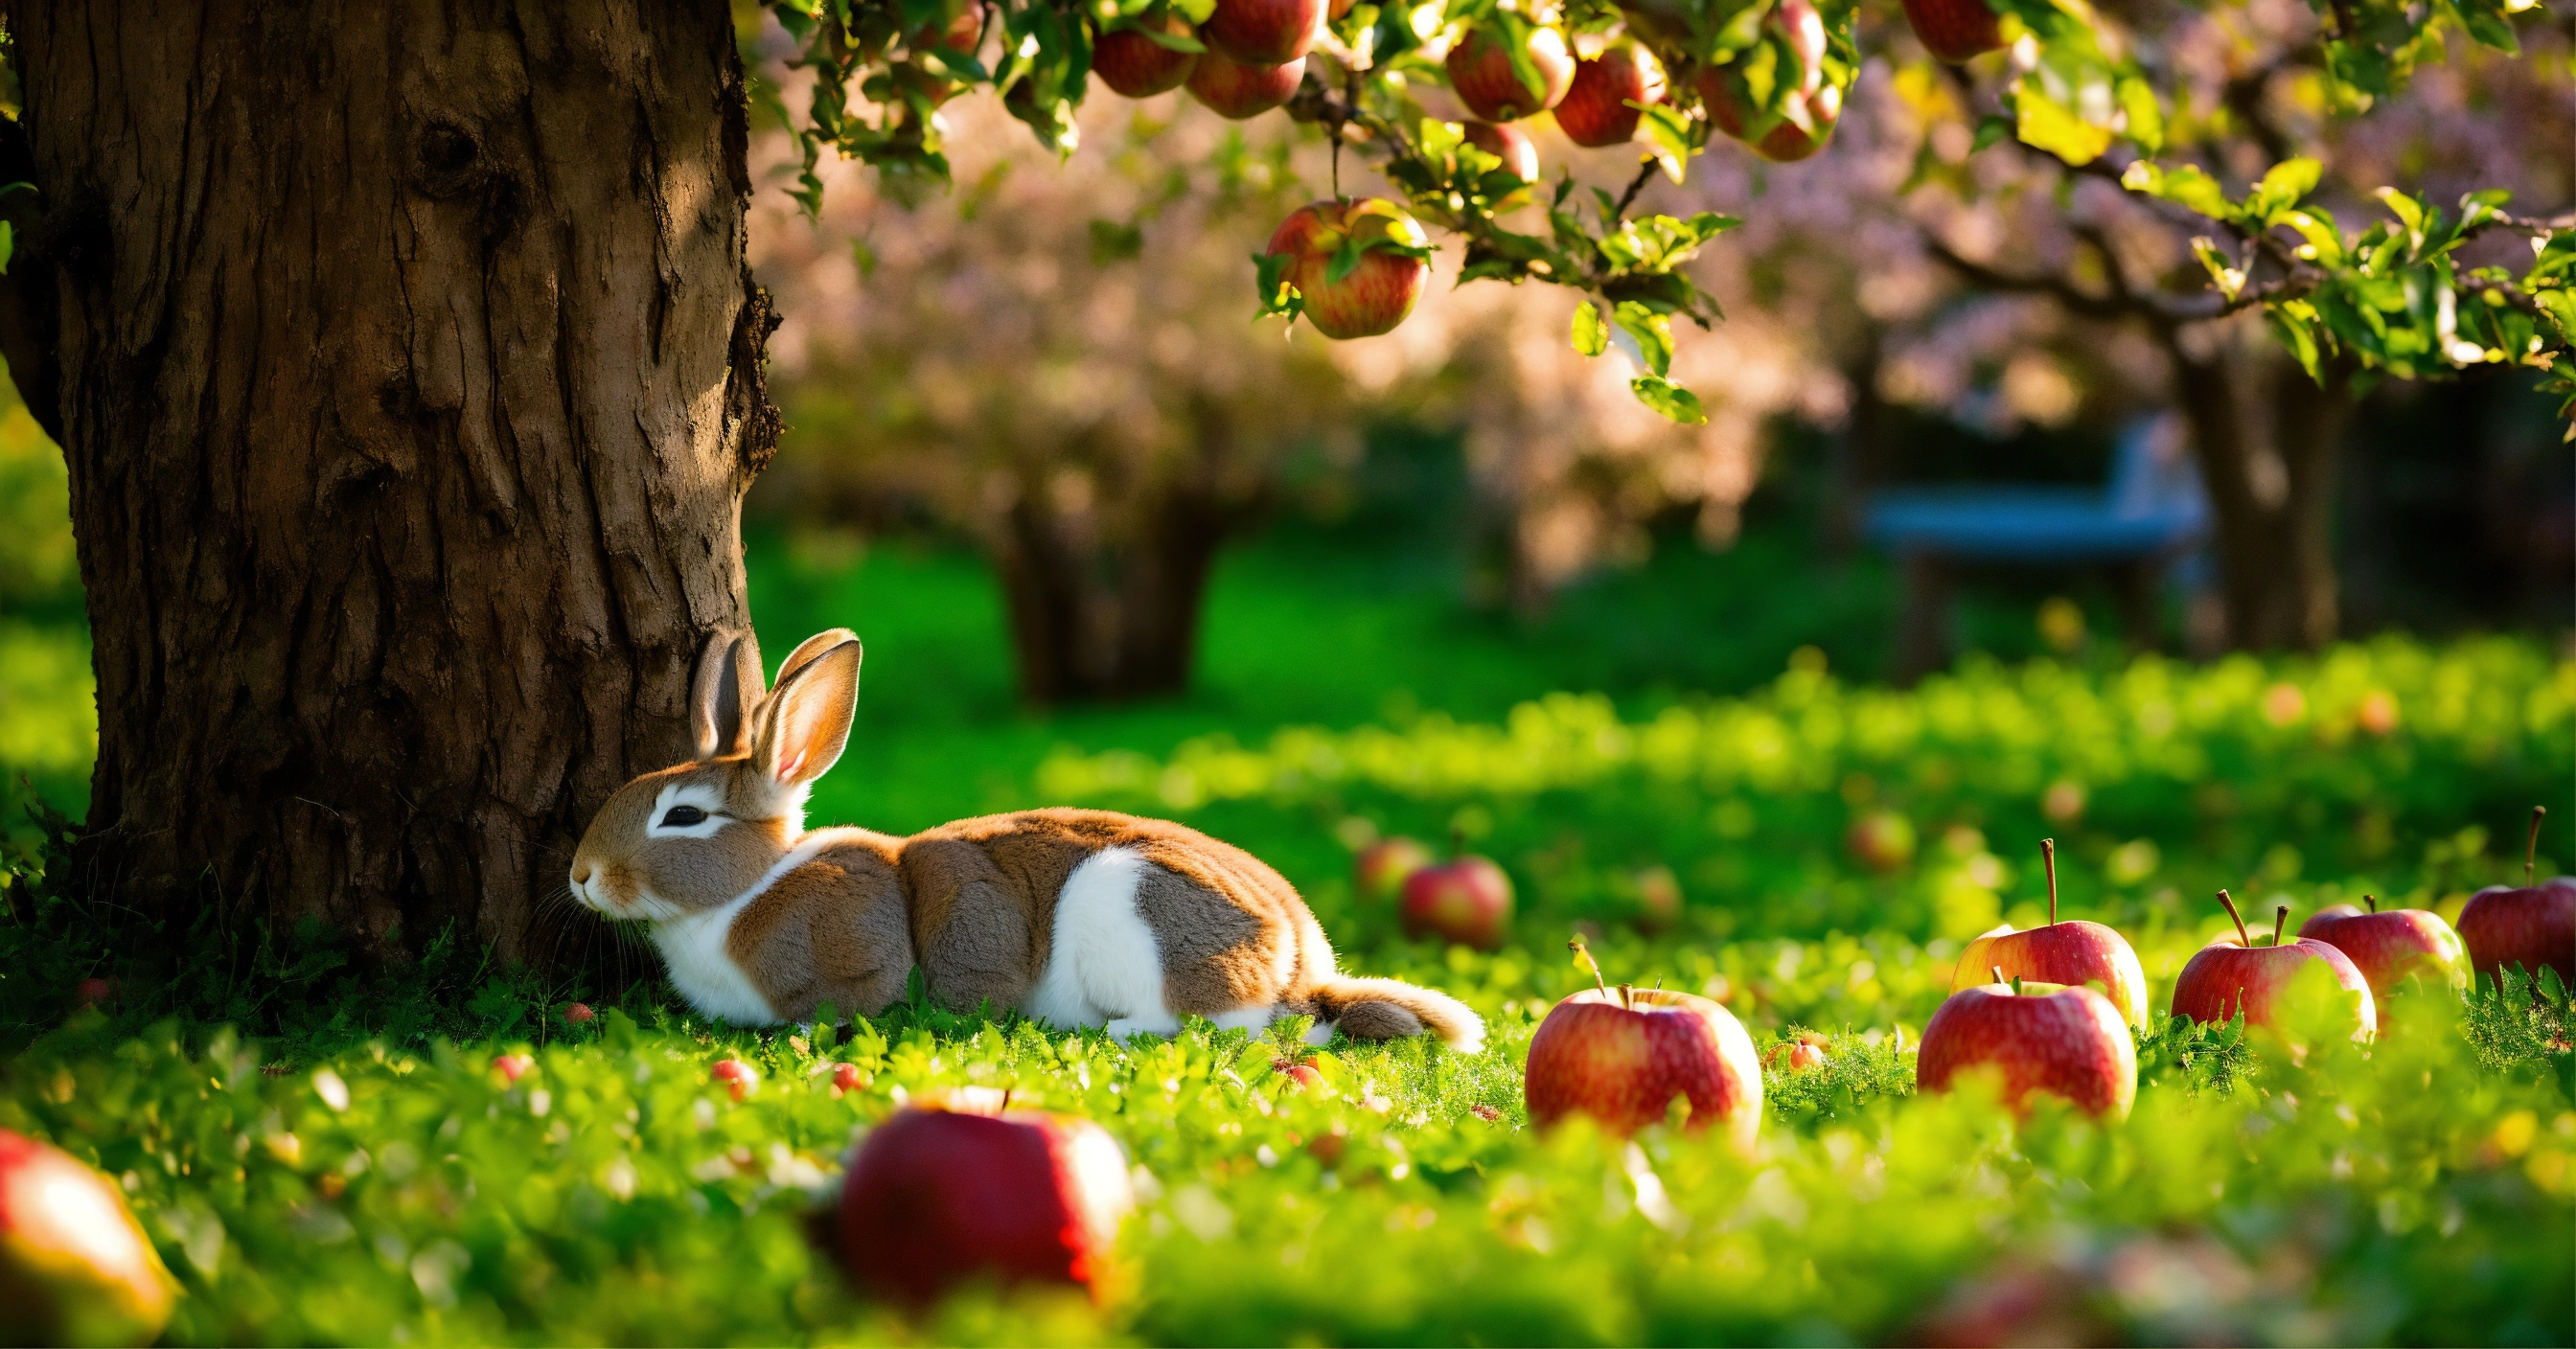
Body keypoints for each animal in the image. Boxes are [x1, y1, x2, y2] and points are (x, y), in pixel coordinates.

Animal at [570, 628, 1484, 1054]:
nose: (580, 876)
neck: (744, 891)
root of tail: (1300, 960)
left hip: (1136, 917)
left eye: (684, 817)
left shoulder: (858, 963)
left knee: (1231, 1022)